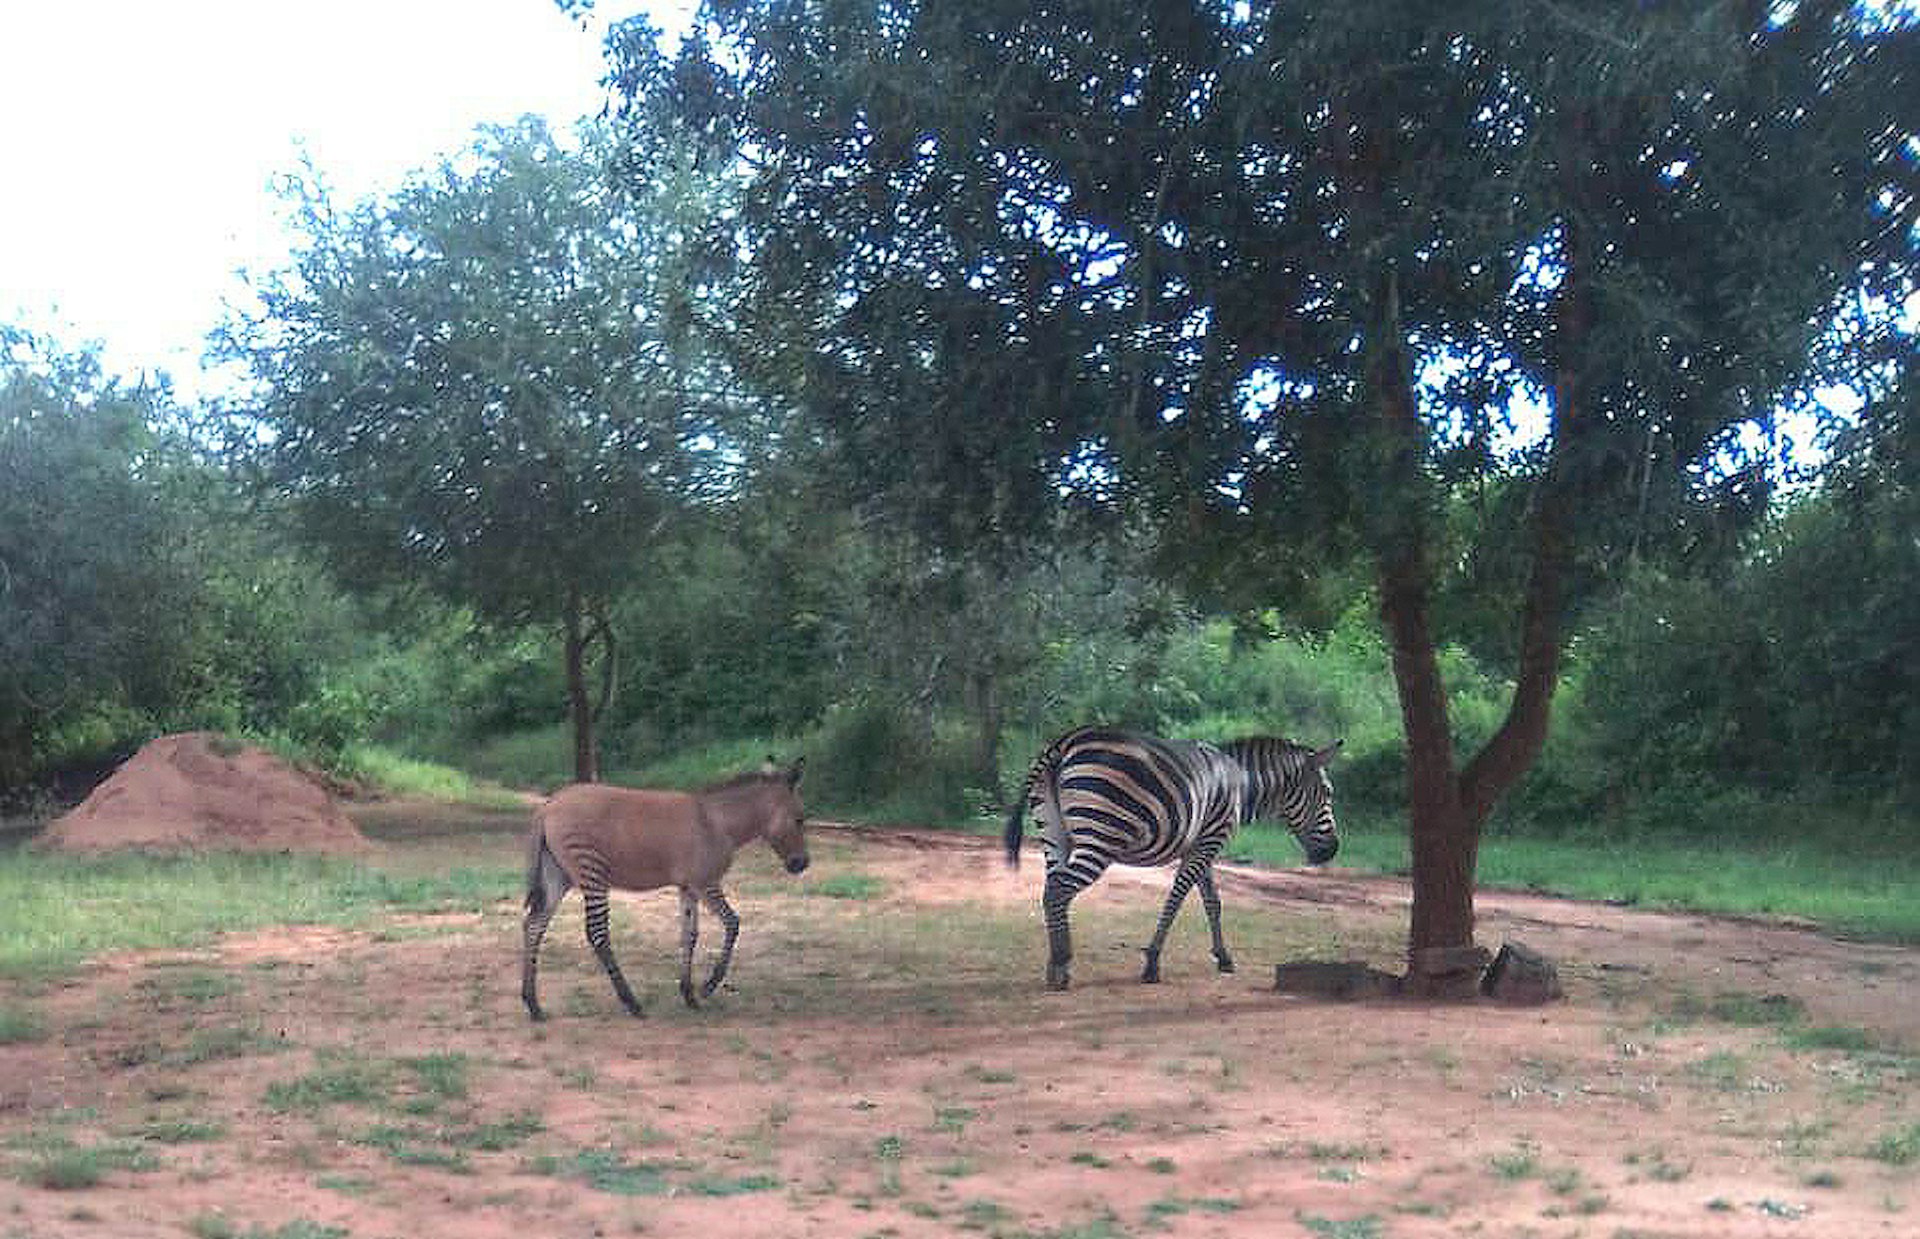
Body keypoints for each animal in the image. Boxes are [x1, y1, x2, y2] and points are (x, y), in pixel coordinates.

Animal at [1006, 718, 1336, 991]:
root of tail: (1064, 742)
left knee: (1051, 889)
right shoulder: (1209, 840)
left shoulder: (1200, 843)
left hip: (1054, 834)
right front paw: (1152, 962)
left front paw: (1223, 957)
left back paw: (1055, 966)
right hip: (1100, 834)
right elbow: (1176, 899)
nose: (1332, 850)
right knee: (1059, 890)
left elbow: (1212, 901)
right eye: (1328, 793)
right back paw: (1061, 964)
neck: (1241, 783)